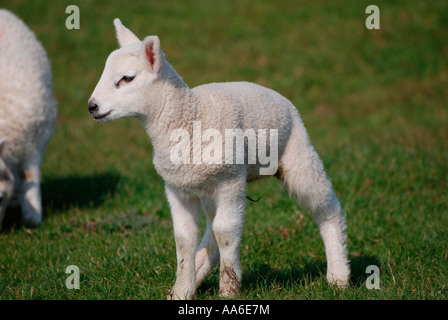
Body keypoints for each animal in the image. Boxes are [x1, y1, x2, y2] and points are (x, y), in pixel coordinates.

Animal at [89, 19, 352, 300]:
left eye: (126, 78)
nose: (92, 106)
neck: (190, 117)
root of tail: (278, 95)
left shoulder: (231, 181)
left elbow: (226, 232)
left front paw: (228, 290)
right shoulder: (177, 188)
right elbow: (184, 239)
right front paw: (181, 290)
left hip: (299, 154)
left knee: (326, 208)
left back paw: (338, 276)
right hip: (208, 188)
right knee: (210, 235)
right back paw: (198, 270)